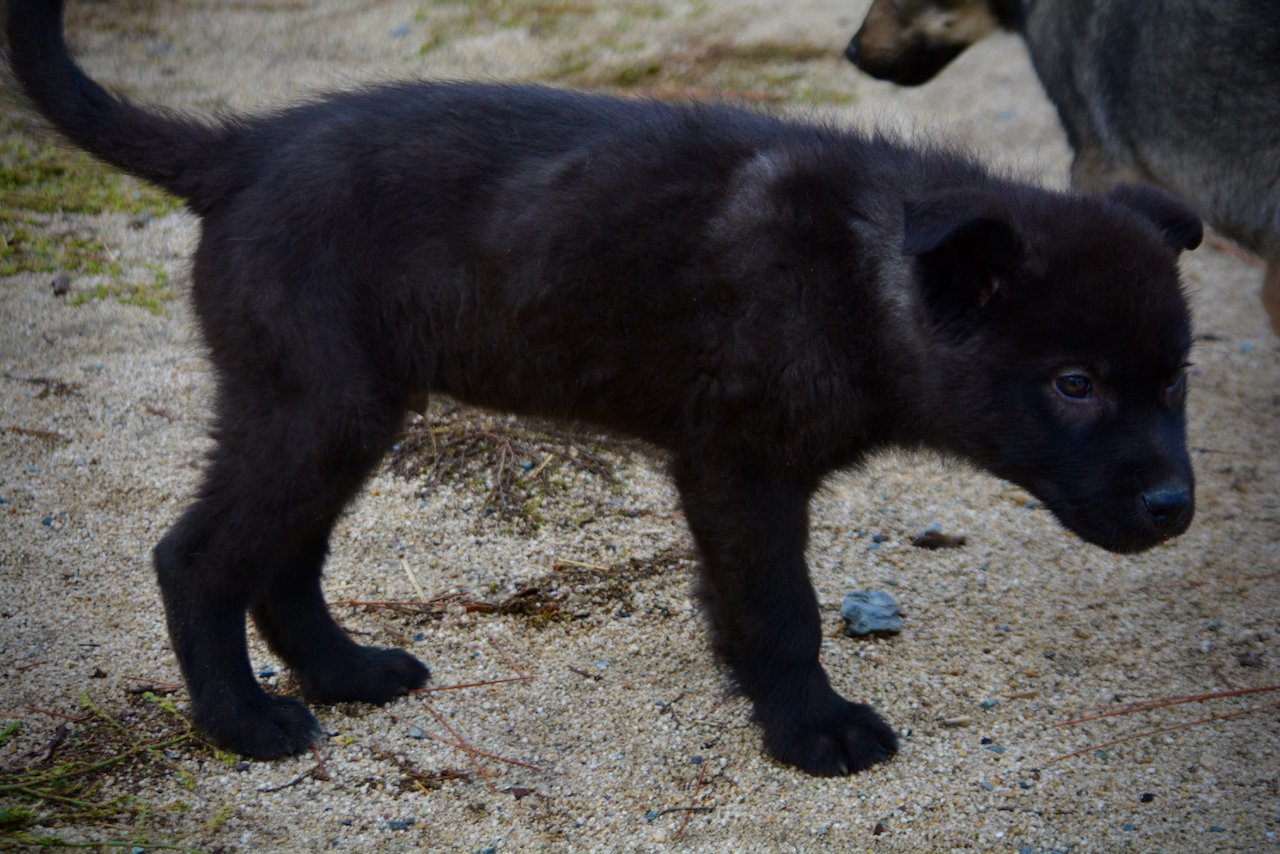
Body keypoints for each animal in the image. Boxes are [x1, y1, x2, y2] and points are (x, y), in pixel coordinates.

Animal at [7, 0, 1198, 778]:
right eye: (1074, 382)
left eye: (1177, 380)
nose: (1174, 507)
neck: (865, 272)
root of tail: (240, 151)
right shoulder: (739, 465)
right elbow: (782, 611)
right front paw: (811, 729)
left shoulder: (730, 474)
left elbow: (743, 609)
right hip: (313, 407)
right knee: (199, 557)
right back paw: (242, 724)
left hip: (341, 413)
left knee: (284, 564)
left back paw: (344, 673)